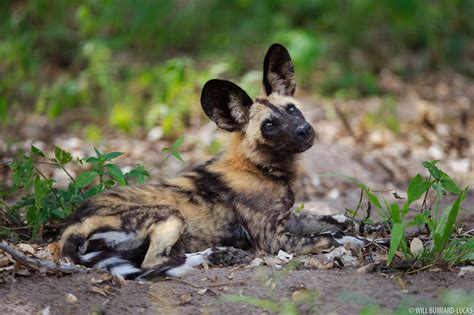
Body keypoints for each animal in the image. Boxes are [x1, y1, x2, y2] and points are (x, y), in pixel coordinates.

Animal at [58, 43, 362, 280]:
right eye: (269, 125)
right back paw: (215, 254)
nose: (304, 130)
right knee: (154, 263)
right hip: (168, 214)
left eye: (292, 109)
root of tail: (72, 226)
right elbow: (332, 235)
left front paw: (365, 227)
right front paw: (360, 240)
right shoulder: (274, 240)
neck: (260, 168)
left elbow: (334, 220)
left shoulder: (289, 220)